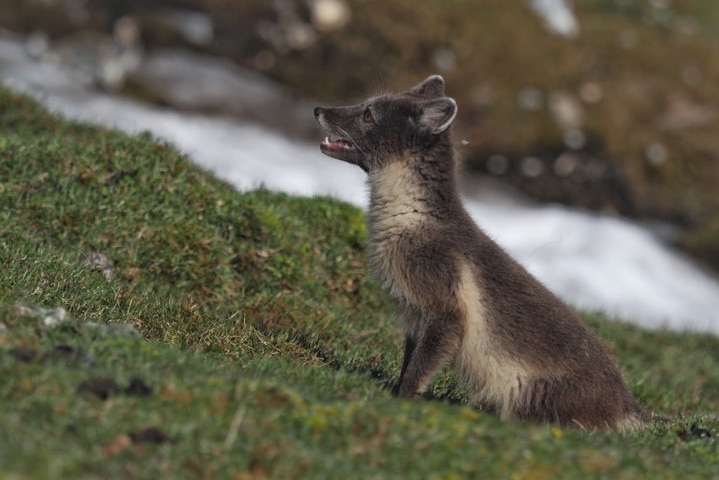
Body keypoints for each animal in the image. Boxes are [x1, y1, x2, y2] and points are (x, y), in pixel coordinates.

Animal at [316, 76, 648, 432]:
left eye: (369, 114)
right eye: (366, 105)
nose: (318, 109)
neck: (412, 220)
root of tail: (628, 407)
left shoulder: (446, 308)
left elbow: (419, 370)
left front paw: (402, 400)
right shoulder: (416, 318)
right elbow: (409, 362)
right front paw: (394, 389)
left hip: (529, 398)